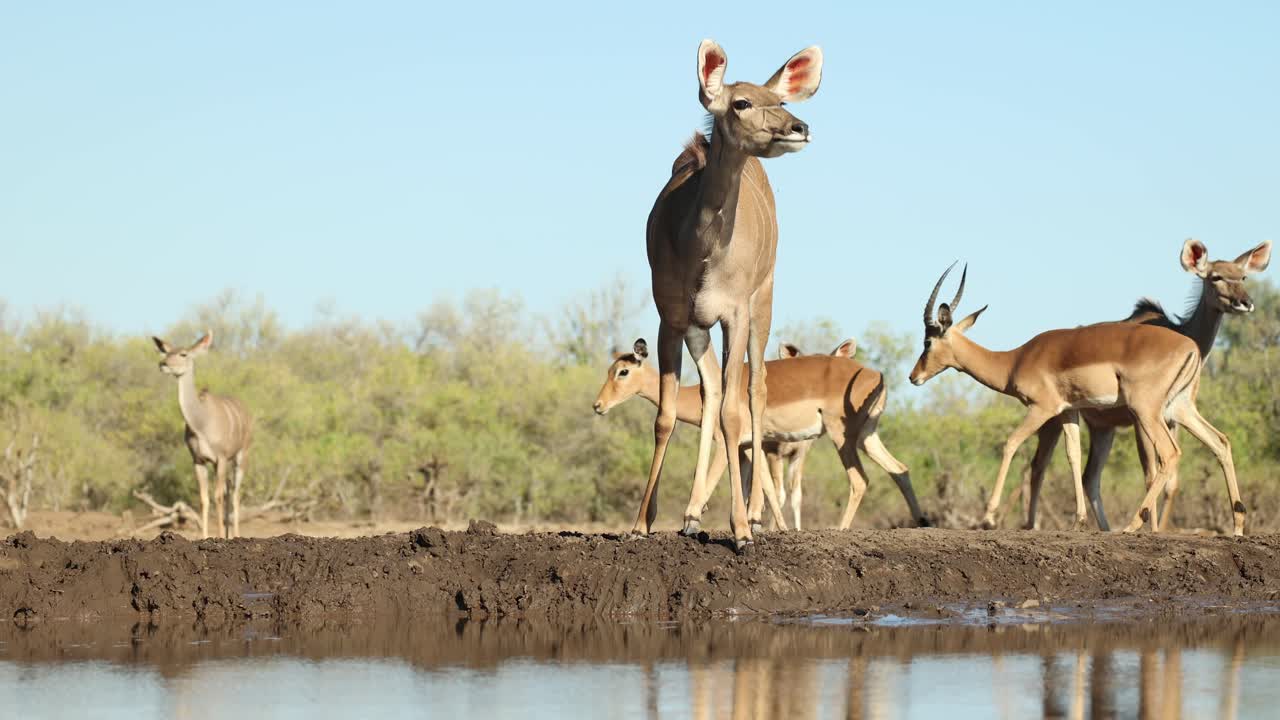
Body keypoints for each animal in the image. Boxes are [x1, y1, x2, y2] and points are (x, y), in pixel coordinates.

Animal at [153, 331, 253, 538]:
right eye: (166, 352)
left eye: (183, 354)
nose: (163, 364)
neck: (201, 423)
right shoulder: (198, 460)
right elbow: (204, 498)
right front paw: (205, 536)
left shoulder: (220, 458)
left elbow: (217, 496)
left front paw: (221, 536)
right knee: (229, 489)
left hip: (241, 456)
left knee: (235, 492)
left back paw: (235, 534)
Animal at [594, 338, 928, 531]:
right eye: (610, 369)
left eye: (623, 371)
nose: (598, 405)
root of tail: (876, 376)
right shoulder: (748, 449)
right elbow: (763, 486)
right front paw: (770, 527)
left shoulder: (726, 443)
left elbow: (722, 479)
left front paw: (692, 520)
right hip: (866, 437)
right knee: (900, 469)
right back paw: (922, 521)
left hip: (842, 436)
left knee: (860, 479)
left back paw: (840, 530)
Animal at [641, 39, 823, 550]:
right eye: (741, 102)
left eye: (778, 99)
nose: (799, 127)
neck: (698, 249)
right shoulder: (673, 319)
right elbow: (668, 415)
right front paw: (643, 522)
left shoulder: (734, 314)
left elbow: (733, 412)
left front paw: (741, 530)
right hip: (700, 330)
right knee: (712, 391)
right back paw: (691, 515)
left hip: (762, 306)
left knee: (754, 391)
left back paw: (758, 517)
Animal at [909, 263, 1241, 534]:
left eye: (927, 341)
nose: (914, 377)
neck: (1015, 360)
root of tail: (1192, 347)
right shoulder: (1068, 411)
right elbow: (1074, 456)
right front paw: (1079, 520)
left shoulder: (1042, 409)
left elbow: (1010, 444)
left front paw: (988, 517)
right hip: (1179, 409)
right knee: (1221, 442)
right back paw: (1238, 526)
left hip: (1146, 411)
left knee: (1170, 455)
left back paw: (1132, 525)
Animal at [1026, 239, 1270, 531]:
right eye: (1215, 277)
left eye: (1243, 277)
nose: (1246, 303)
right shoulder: (1139, 419)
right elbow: (1151, 473)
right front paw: (1151, 528)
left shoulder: (1171, 418)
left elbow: (1172, 481)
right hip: (1056, 419)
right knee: (1038, 466)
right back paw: (1030, 525)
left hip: (1101, 428)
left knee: (1089, 476)